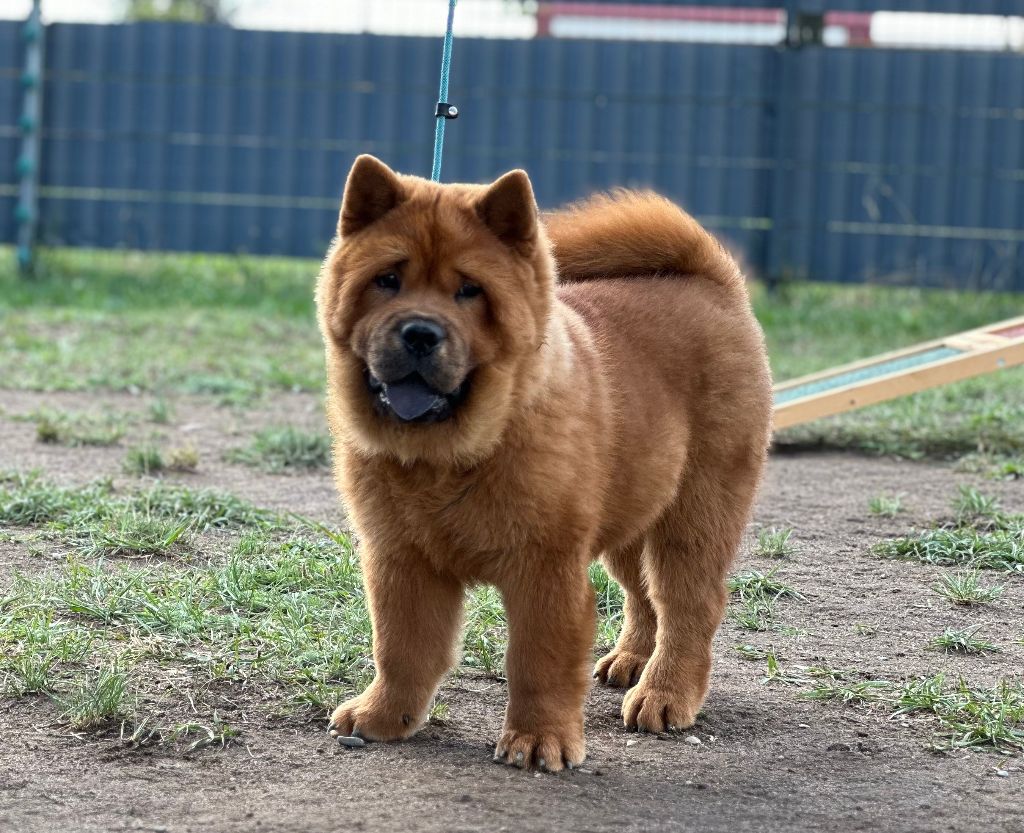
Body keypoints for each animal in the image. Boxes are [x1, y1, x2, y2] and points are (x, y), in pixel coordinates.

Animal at [316, 155, 772, 771]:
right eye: (388, 280)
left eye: (469, 291)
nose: (419, 332)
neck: (447, 460)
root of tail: (712, 279)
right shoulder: (401, 559)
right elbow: (401, 648)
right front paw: (384, 717)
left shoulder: (545, 570)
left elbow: (537, 662)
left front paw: (539, 741)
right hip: (630, 519)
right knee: (643, 597)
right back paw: (629, 662)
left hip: (694, 518)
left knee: (688, 606)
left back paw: (663, 695)